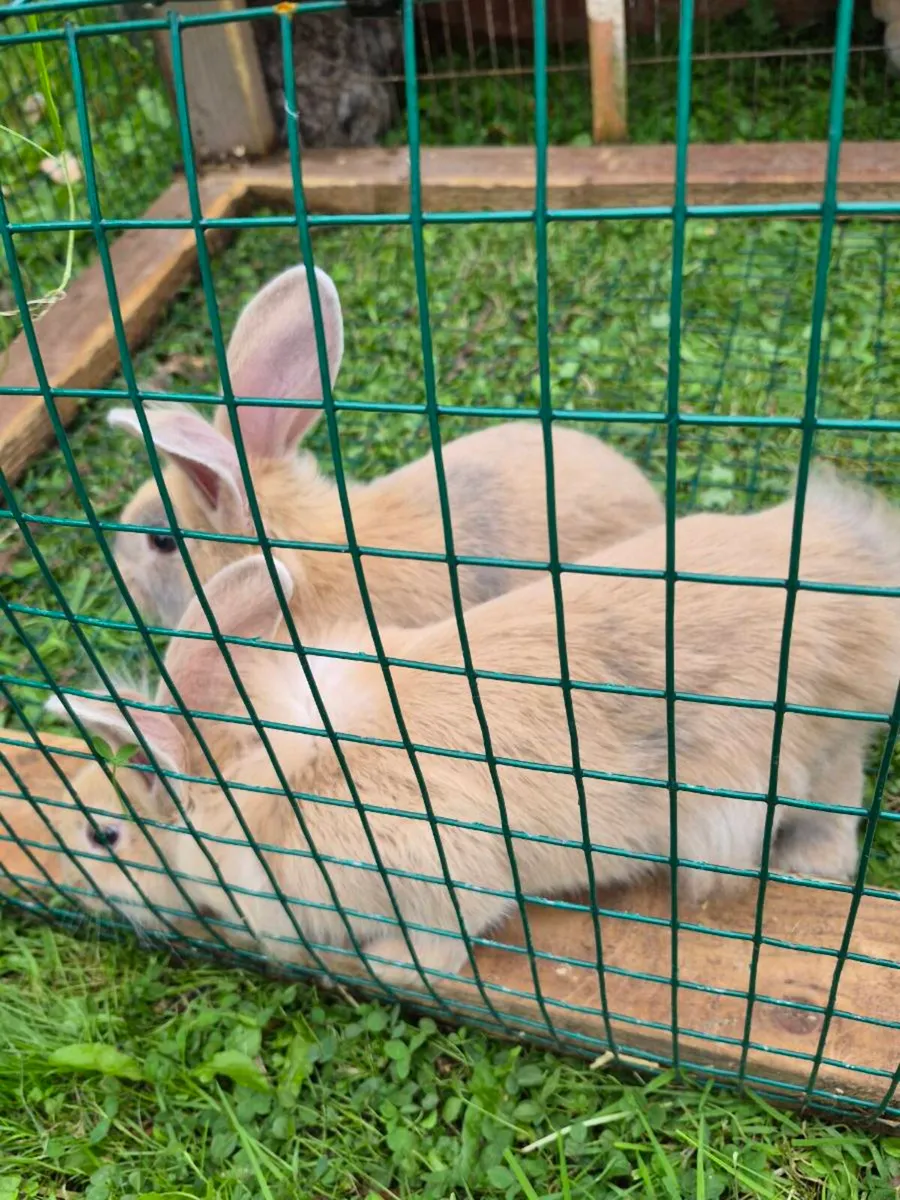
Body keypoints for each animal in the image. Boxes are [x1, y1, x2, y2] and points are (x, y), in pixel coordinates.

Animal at [48, 467, 900, 987]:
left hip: (810, 758)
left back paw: (806, 866)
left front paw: (389, 965)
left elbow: (440, 940)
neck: (273, 787)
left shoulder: (440, 877)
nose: (68, 886)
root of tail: (860, 568)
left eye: (102, 834)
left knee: (835, 805)